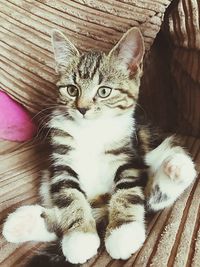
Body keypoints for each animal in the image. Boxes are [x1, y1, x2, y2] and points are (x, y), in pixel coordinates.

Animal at [2, 27, 197, 266]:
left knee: (149, 199)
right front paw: (80, 236)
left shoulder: (128, 156)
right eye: (72, 89)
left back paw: (177, 168)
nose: (83, 108)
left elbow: (129, 191)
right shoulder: (62, 163)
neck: (91, 131)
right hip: (46, 180)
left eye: (104, 91)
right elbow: (69, 195)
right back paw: (22, 223)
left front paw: (123, 232)